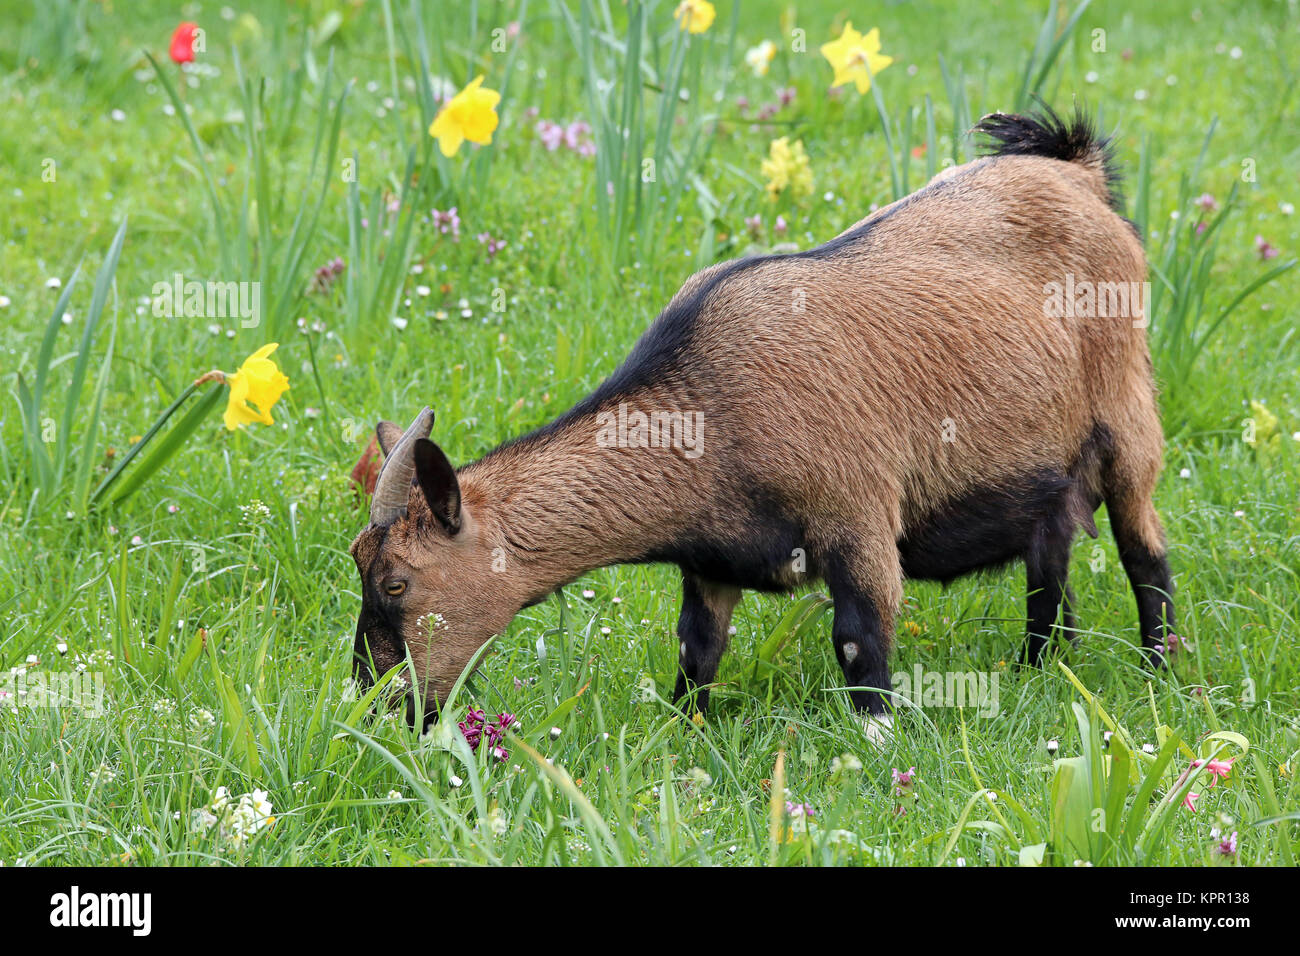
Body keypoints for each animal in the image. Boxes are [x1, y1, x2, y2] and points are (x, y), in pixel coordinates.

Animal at [351, 106, 1175, 733]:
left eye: (394, 583)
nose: (375, 703)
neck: (710, 412)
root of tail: (1077, 170)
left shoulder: (858, 518)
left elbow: (861, 645)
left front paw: (881, 755)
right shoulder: (711, 563)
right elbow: (698, 652)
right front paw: (683, 740)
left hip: (1127, 409)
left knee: (1144, 550)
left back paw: (1160, 672)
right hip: (1049, 466)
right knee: (1050, 559)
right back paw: (1040, 669)